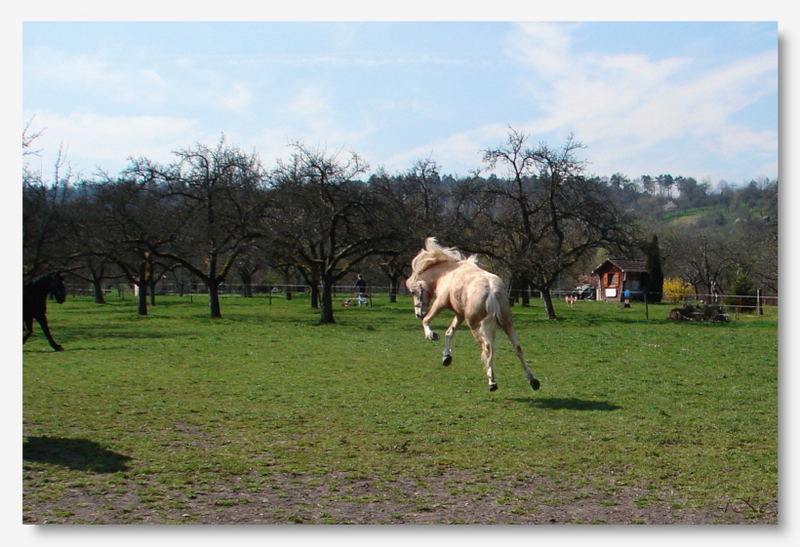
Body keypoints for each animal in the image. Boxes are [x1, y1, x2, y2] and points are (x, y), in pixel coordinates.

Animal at [410, 238, 540, 392]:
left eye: (413, 292)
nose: (418, 313)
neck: (447, 274)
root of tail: (491, 292)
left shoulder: (440, 303)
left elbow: (427, 321)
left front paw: (431, 335)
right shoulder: (460, 314)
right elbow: (449, 332)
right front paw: (446, 357)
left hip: (475, 325)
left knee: (487, 347)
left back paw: (492, 382)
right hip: (506, 323)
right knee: (517, 348)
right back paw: (533, 381)